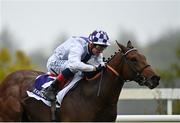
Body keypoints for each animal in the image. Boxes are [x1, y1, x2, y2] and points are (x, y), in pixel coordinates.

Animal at [0, 41, 160, 121]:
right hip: (10, 117)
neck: (96, 97)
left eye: (144, 57)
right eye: (133, 59)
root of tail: (7, 79)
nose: (155, 78)